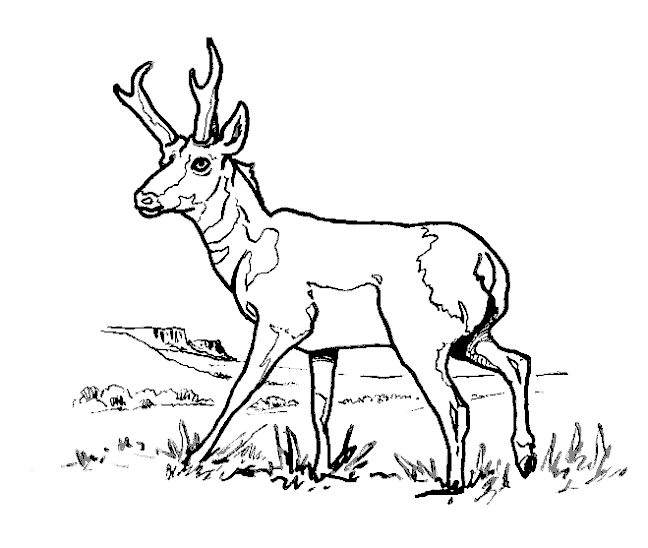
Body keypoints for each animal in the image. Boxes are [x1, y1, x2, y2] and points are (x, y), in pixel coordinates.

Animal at [114, 39, 536, 489]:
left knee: (457, 404)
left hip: (423, 339)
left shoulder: (282, 322)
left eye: (200, 162)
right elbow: (320, 409)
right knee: (517, 362)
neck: (253, 252)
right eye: (164, 156)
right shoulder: (322, 347)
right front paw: (317, 471)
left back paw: (453, 481)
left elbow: (241, 388)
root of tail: (489, 262)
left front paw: (191, 462)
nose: (143, 197)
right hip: (471, 336)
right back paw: (525, 457)